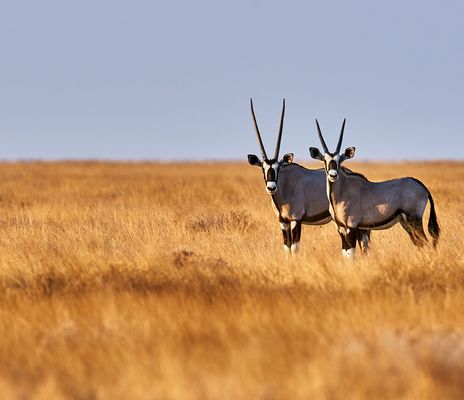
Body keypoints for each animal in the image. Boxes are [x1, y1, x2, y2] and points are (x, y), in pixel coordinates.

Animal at [246, 100, 370, 256]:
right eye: (263, 168)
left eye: (278, 168)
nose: (271, 187)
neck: (284, 187)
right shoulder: (283, 222)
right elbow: (287, 248)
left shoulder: (296, 220)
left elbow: (294, 248)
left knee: (363, 243)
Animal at [310, 119, 440, 258]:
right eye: (324, 160)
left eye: (340, 160)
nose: (333, 175)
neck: (340, 193)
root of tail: (422, 186)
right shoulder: (341, 229)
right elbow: (345, 254)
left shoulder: (352, 226)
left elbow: (351, 255)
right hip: (406, 223)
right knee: (420, 244)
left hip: (414, 220)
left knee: (425, 243)